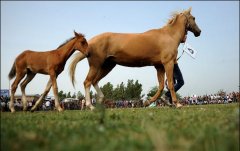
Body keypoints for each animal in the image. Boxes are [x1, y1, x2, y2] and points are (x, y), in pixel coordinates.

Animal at [69, 7, 201, 109]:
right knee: (87, 82)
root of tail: (89, 43)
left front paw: (148, 102)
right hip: (96, 65)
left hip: (107, 66)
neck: (169, 36)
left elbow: (161, 86)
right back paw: (90, 105)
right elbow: (171, 84)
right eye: (194, 18)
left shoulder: (159, 66)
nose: (199, 32)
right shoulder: (168, 63)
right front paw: (177, 103)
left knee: (95, 81)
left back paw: (100, 100)